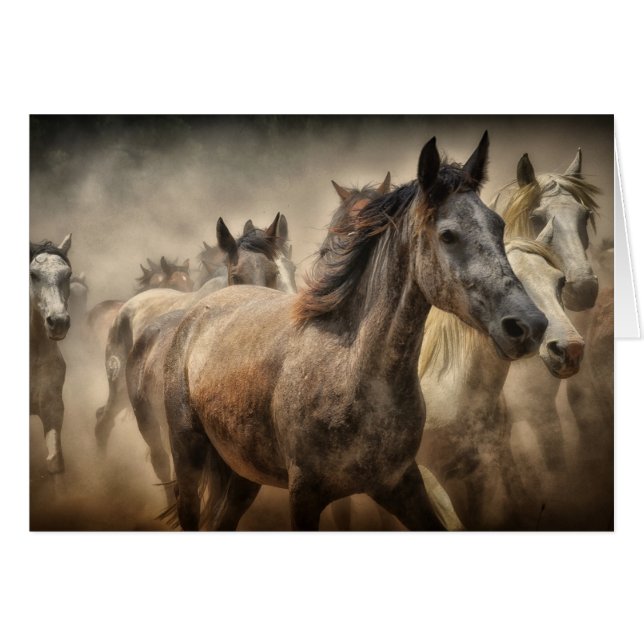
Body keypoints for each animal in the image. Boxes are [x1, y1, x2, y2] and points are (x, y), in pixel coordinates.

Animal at [162, 132, 548, 531]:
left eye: (499, 225)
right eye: (448, 235)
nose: (528, 326)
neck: (353, 371)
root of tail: (197, 313)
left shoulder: (400, 484)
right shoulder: (305, 495)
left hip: (243, 475)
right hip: (188, 454)